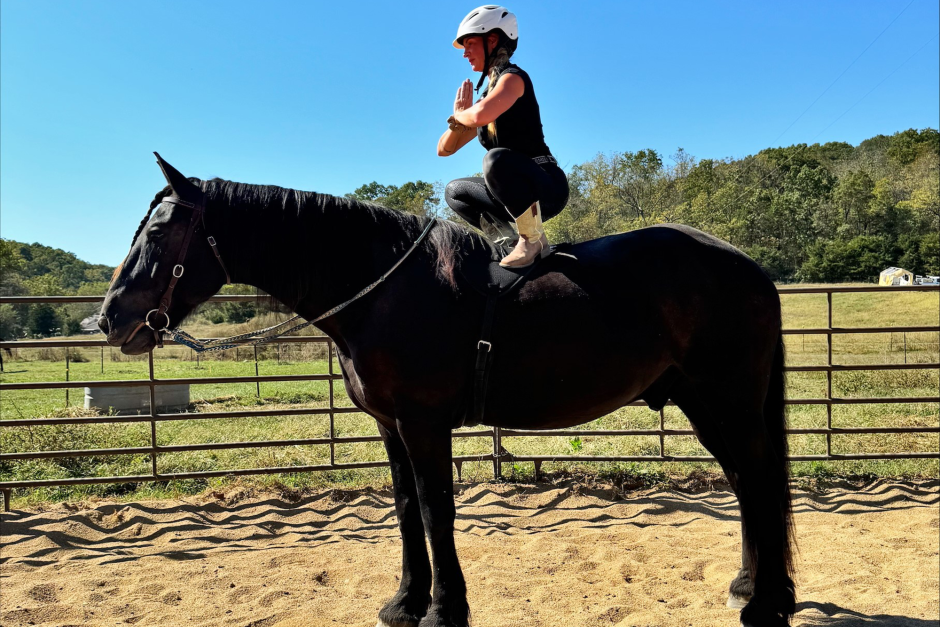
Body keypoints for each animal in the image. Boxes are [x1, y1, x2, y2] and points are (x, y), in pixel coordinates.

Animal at [101, 156, 792, 624]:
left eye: (157, 234)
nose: (110, 319)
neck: (380, 290)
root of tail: (746, 266)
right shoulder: (392, 427)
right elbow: (407, 508)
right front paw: (405, 602)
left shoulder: (424, 424)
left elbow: (437, 510)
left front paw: (444, 608)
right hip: (703, 403)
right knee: (745, 482)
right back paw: (751, 585)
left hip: (729, 401)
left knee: (759, 480)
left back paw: (767, 602)